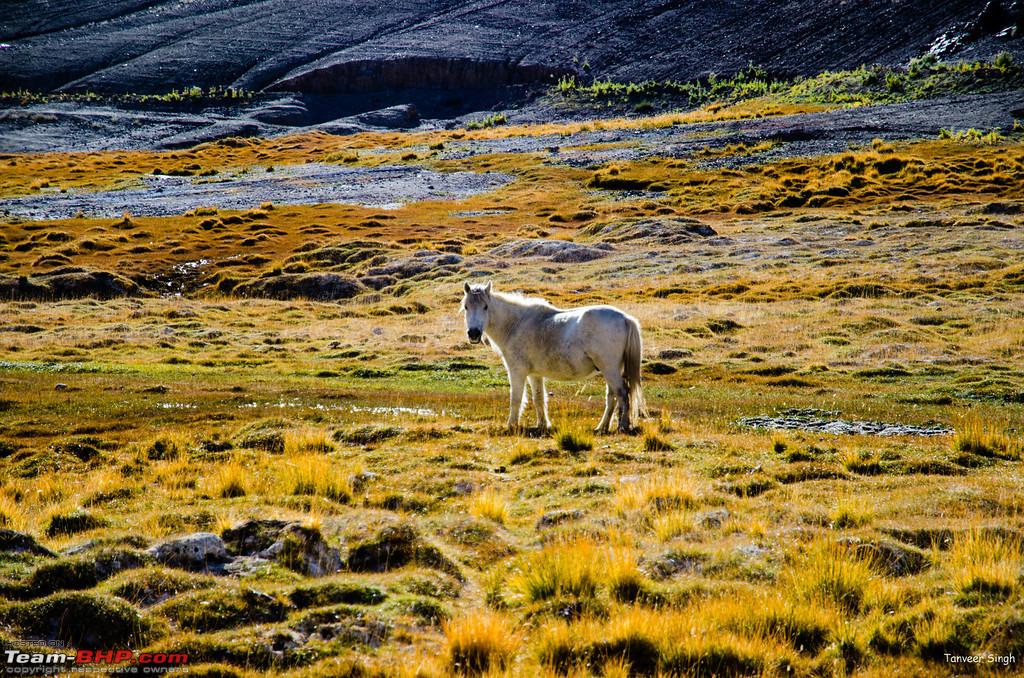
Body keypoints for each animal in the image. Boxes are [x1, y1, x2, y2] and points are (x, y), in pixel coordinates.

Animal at [460, 280, 643, 436]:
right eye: (466, 307)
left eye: (485, 307)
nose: (473, 334)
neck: (516, 324)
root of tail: (625, 318)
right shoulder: (535, 374)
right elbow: (539, 398)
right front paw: (542, 425)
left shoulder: (517, 371)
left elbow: (516, 399)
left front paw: (511, 425)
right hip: (609, 371)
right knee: (611, 397)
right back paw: (601, 427)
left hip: (610, 369)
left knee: (622, 394)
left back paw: (622, 426)